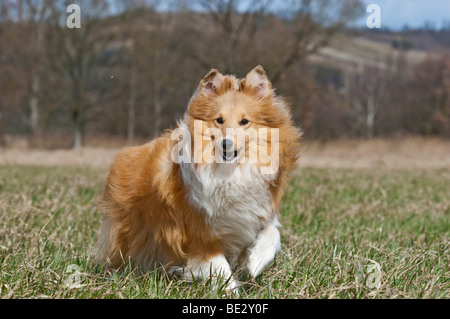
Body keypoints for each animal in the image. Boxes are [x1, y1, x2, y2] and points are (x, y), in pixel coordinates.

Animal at [97, 66, 304, 292]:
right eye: (219, 120)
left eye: (244, 121)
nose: (226, 144)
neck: (230, 172)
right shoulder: (199, 235)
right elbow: (221, 268)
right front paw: (231, 291)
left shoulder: (256, 214)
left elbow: (272, 234)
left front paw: (255, 263)